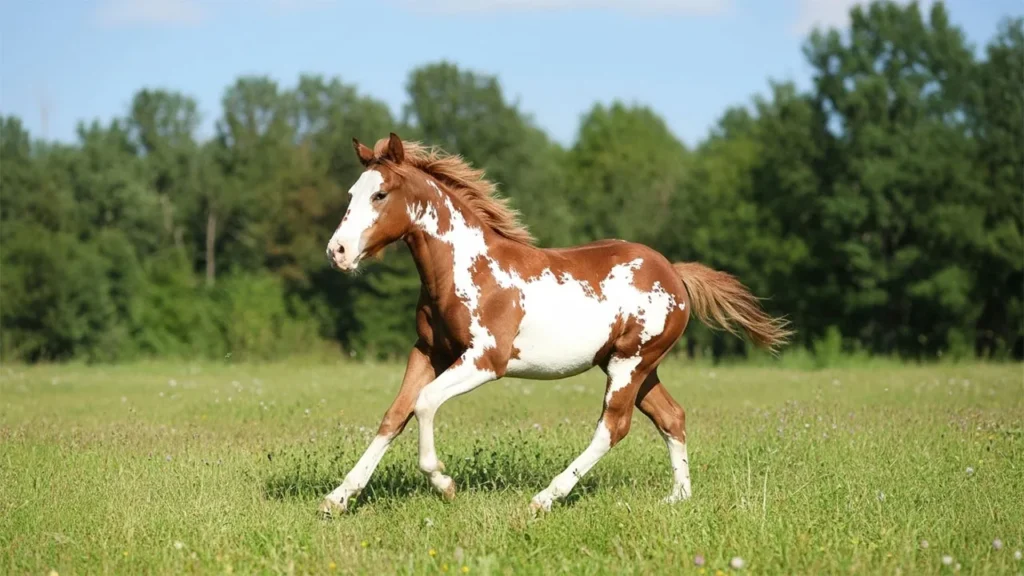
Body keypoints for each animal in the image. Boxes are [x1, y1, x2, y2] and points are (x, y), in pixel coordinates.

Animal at [320, 133, 792, 516]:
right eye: (352, 192)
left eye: (380, 194)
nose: (337, 251)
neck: (466, 268)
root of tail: (675, 274)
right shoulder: (429, 352)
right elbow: (394, 415)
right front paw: (338, 498)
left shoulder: (486, 359)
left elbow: (424, 403)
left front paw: (444, 483)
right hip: (636, 367)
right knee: (671, 416)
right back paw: (678, 497)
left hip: (630, 365)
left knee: (613, 427)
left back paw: (546, 498)